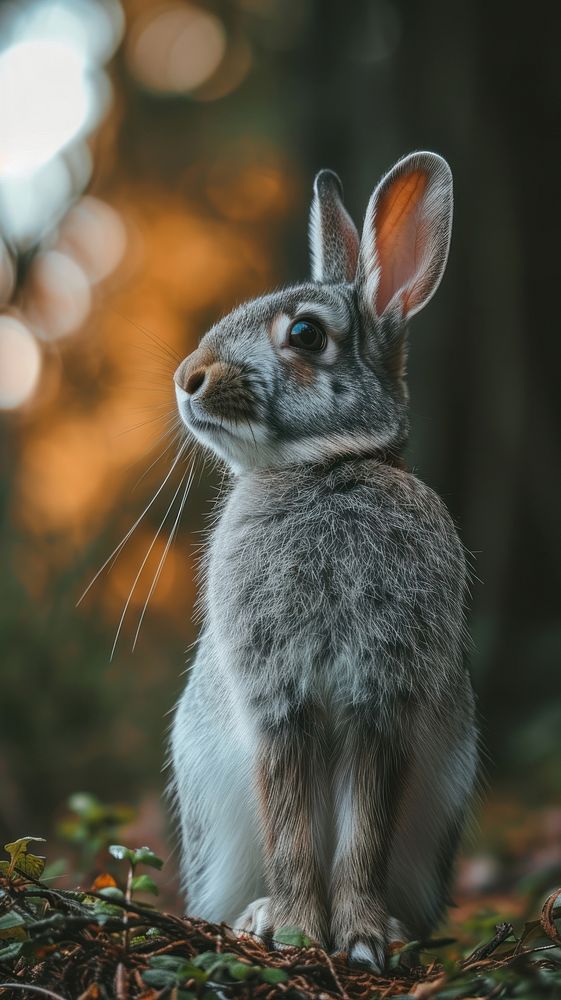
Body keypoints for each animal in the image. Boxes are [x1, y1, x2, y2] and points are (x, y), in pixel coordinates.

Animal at [169, 151, 478, 971]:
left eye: (305, 334)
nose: (187, 377)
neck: (323, 469)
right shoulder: (278, 701)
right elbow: (291, 830)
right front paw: (298, 934)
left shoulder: (382, 697)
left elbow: (361, 832)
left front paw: (362, 941)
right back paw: (251, 919)